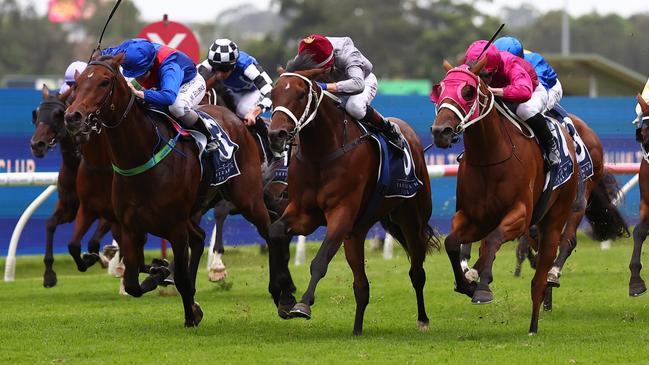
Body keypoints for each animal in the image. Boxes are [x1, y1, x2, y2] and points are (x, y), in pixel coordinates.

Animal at [29, 84, 113, 286]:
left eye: (58, 114)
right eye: (36, 113)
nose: (37, 145)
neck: (76, 164)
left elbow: (92, 243)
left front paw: (95, 258)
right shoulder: (70, 208)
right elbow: (50, 224)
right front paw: (49, 274)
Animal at [63, 52, 292, 326]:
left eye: (104, 82)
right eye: (77, 84)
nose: (73, 117)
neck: (142, 156)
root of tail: (238, 120)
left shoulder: (175, 227)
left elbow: (180, 278)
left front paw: (189, 312)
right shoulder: (130, 227)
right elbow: (132, 284)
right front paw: (159, 273)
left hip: (248, 198)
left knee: (268, 232)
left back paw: (282, 294)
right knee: (200, 237)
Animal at [266, 52, 438, 334]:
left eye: (301, 94)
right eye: (273, 93)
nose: (275, 134)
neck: (322, 153)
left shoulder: (341, 213)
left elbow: (320, 260)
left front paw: (302, 304)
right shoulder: (304, 213)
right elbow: (275, 232)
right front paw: (284, 297)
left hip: (412, 218)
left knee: (417, 271)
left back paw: (423, 318)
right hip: (356, 232)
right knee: (362, 285)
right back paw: (357, 329)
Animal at [430, 59, 576, 332]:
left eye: (468, 91)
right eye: (439, 89)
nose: (439, 131)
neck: (489, 158)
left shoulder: (519, 215)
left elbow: (492, 240)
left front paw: (482, 288)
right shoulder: (473, 217)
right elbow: (452, 242)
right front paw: (467, 283)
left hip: (553, 220)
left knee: (539, 280)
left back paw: (533, 326)